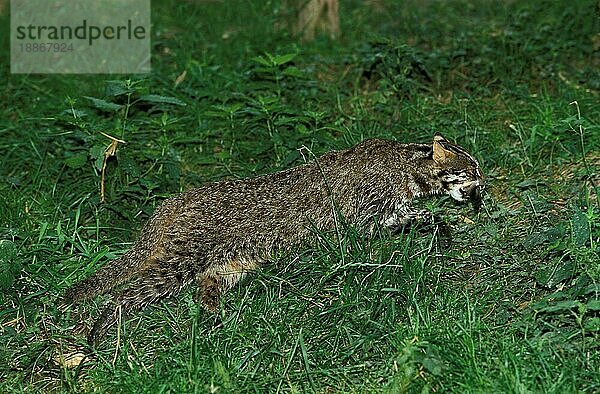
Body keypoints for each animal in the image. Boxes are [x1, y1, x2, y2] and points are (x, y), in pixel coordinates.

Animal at [64, 134, 482, 344]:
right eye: (471, 169)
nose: (484, 183)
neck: (407, 167)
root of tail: (174, 201)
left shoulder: (391, 214)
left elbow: (424, 217)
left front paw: (440, 227)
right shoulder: (365, 218)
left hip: (229, 265)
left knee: (205, 290)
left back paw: (217, 320)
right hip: (180, 262)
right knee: (127, 292)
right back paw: (102, 325)